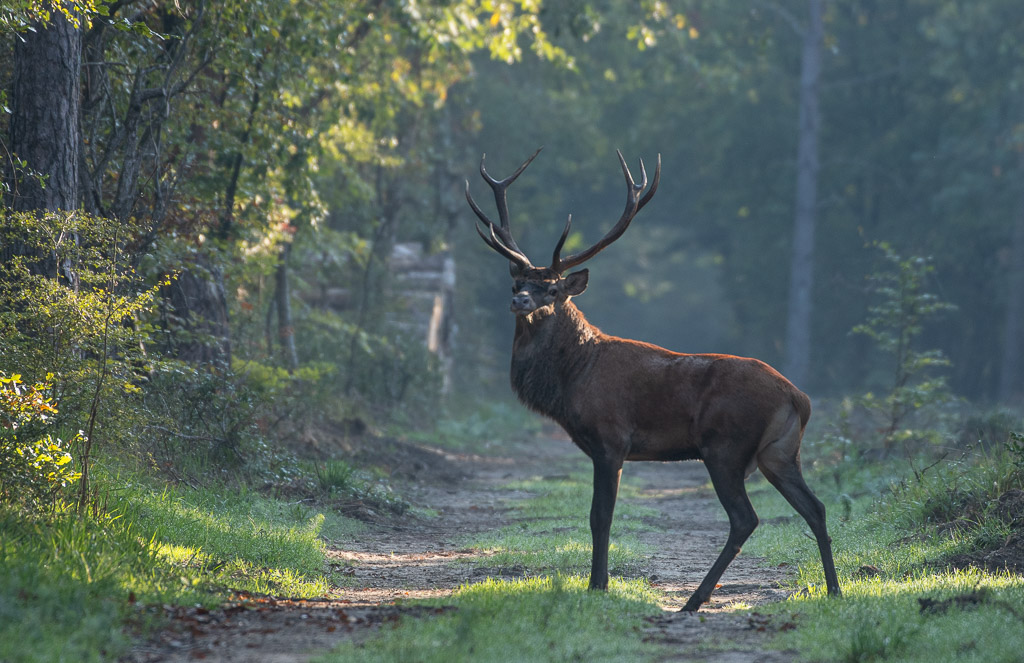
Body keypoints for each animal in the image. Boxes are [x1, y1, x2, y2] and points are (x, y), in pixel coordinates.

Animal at [464, 148, 842, 612]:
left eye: (551, 290)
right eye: (518, 282)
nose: (519, 300)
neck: (573, 379)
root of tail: (799, 397)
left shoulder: (610, 440)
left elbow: (600, 516)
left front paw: (597, 585)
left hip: (725, 446)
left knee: (745, 518)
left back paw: (694, 600)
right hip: (781, 453)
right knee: (816, 507)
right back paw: (834, 589)